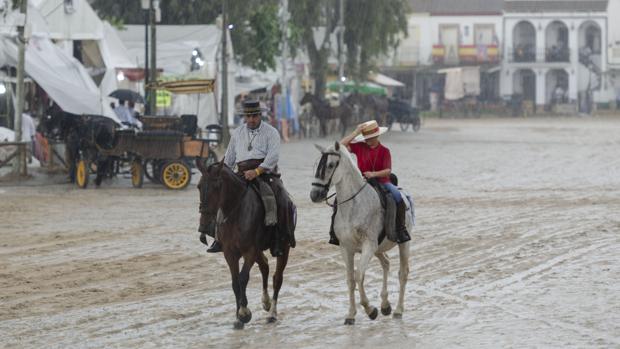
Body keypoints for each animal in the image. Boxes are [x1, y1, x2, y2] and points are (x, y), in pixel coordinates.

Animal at [197, 159, 292, 328]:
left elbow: (243, 278)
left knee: (277, 278)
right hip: (259, 251)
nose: (203, 226)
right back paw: (266, 302)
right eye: (199, 186)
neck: (237, 211)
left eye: (217, 186)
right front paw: (238, 318)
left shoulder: (250, 251)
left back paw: (272, 314)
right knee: (265, 266)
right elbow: (235, 282)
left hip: (284, 247)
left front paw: (244, 313)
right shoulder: (230, 253)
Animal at [308, 141, 412, 324]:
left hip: (403, 243)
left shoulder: (368, 245)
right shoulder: (346, 248)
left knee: (403, 273)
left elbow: (359, 276)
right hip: (378, 248)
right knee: (386, 263)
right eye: (317, 165)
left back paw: (398, 310)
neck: (354, 204)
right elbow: (350, 280)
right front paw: (351, 315)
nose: (315, 195)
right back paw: (385, 305)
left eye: (330, 165)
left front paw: (370, 310)